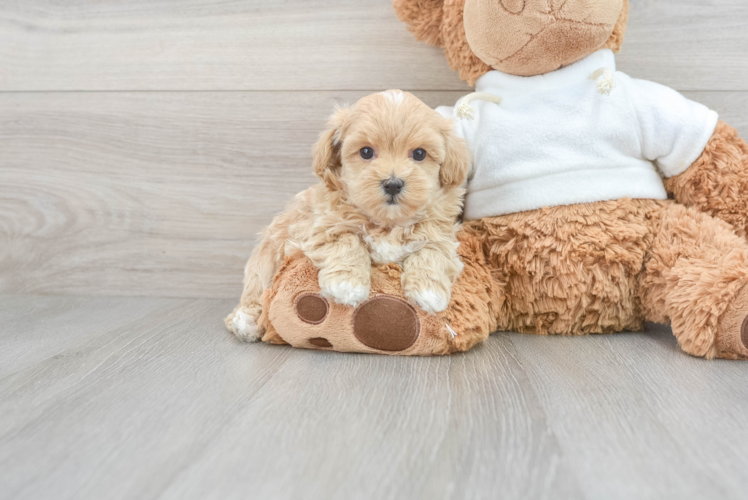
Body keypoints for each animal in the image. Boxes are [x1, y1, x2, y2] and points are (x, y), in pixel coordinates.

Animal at [225, 90, 470, 342]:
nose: (393, 184)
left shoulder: (442, 235)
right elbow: (346, 240)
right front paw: (346, 284)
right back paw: (246, 321)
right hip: (266, 259)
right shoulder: (317, 229)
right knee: (256, 290)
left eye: (419, 153)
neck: (387, 223)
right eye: (366, 152)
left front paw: (429, 292)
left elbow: (432, 252)